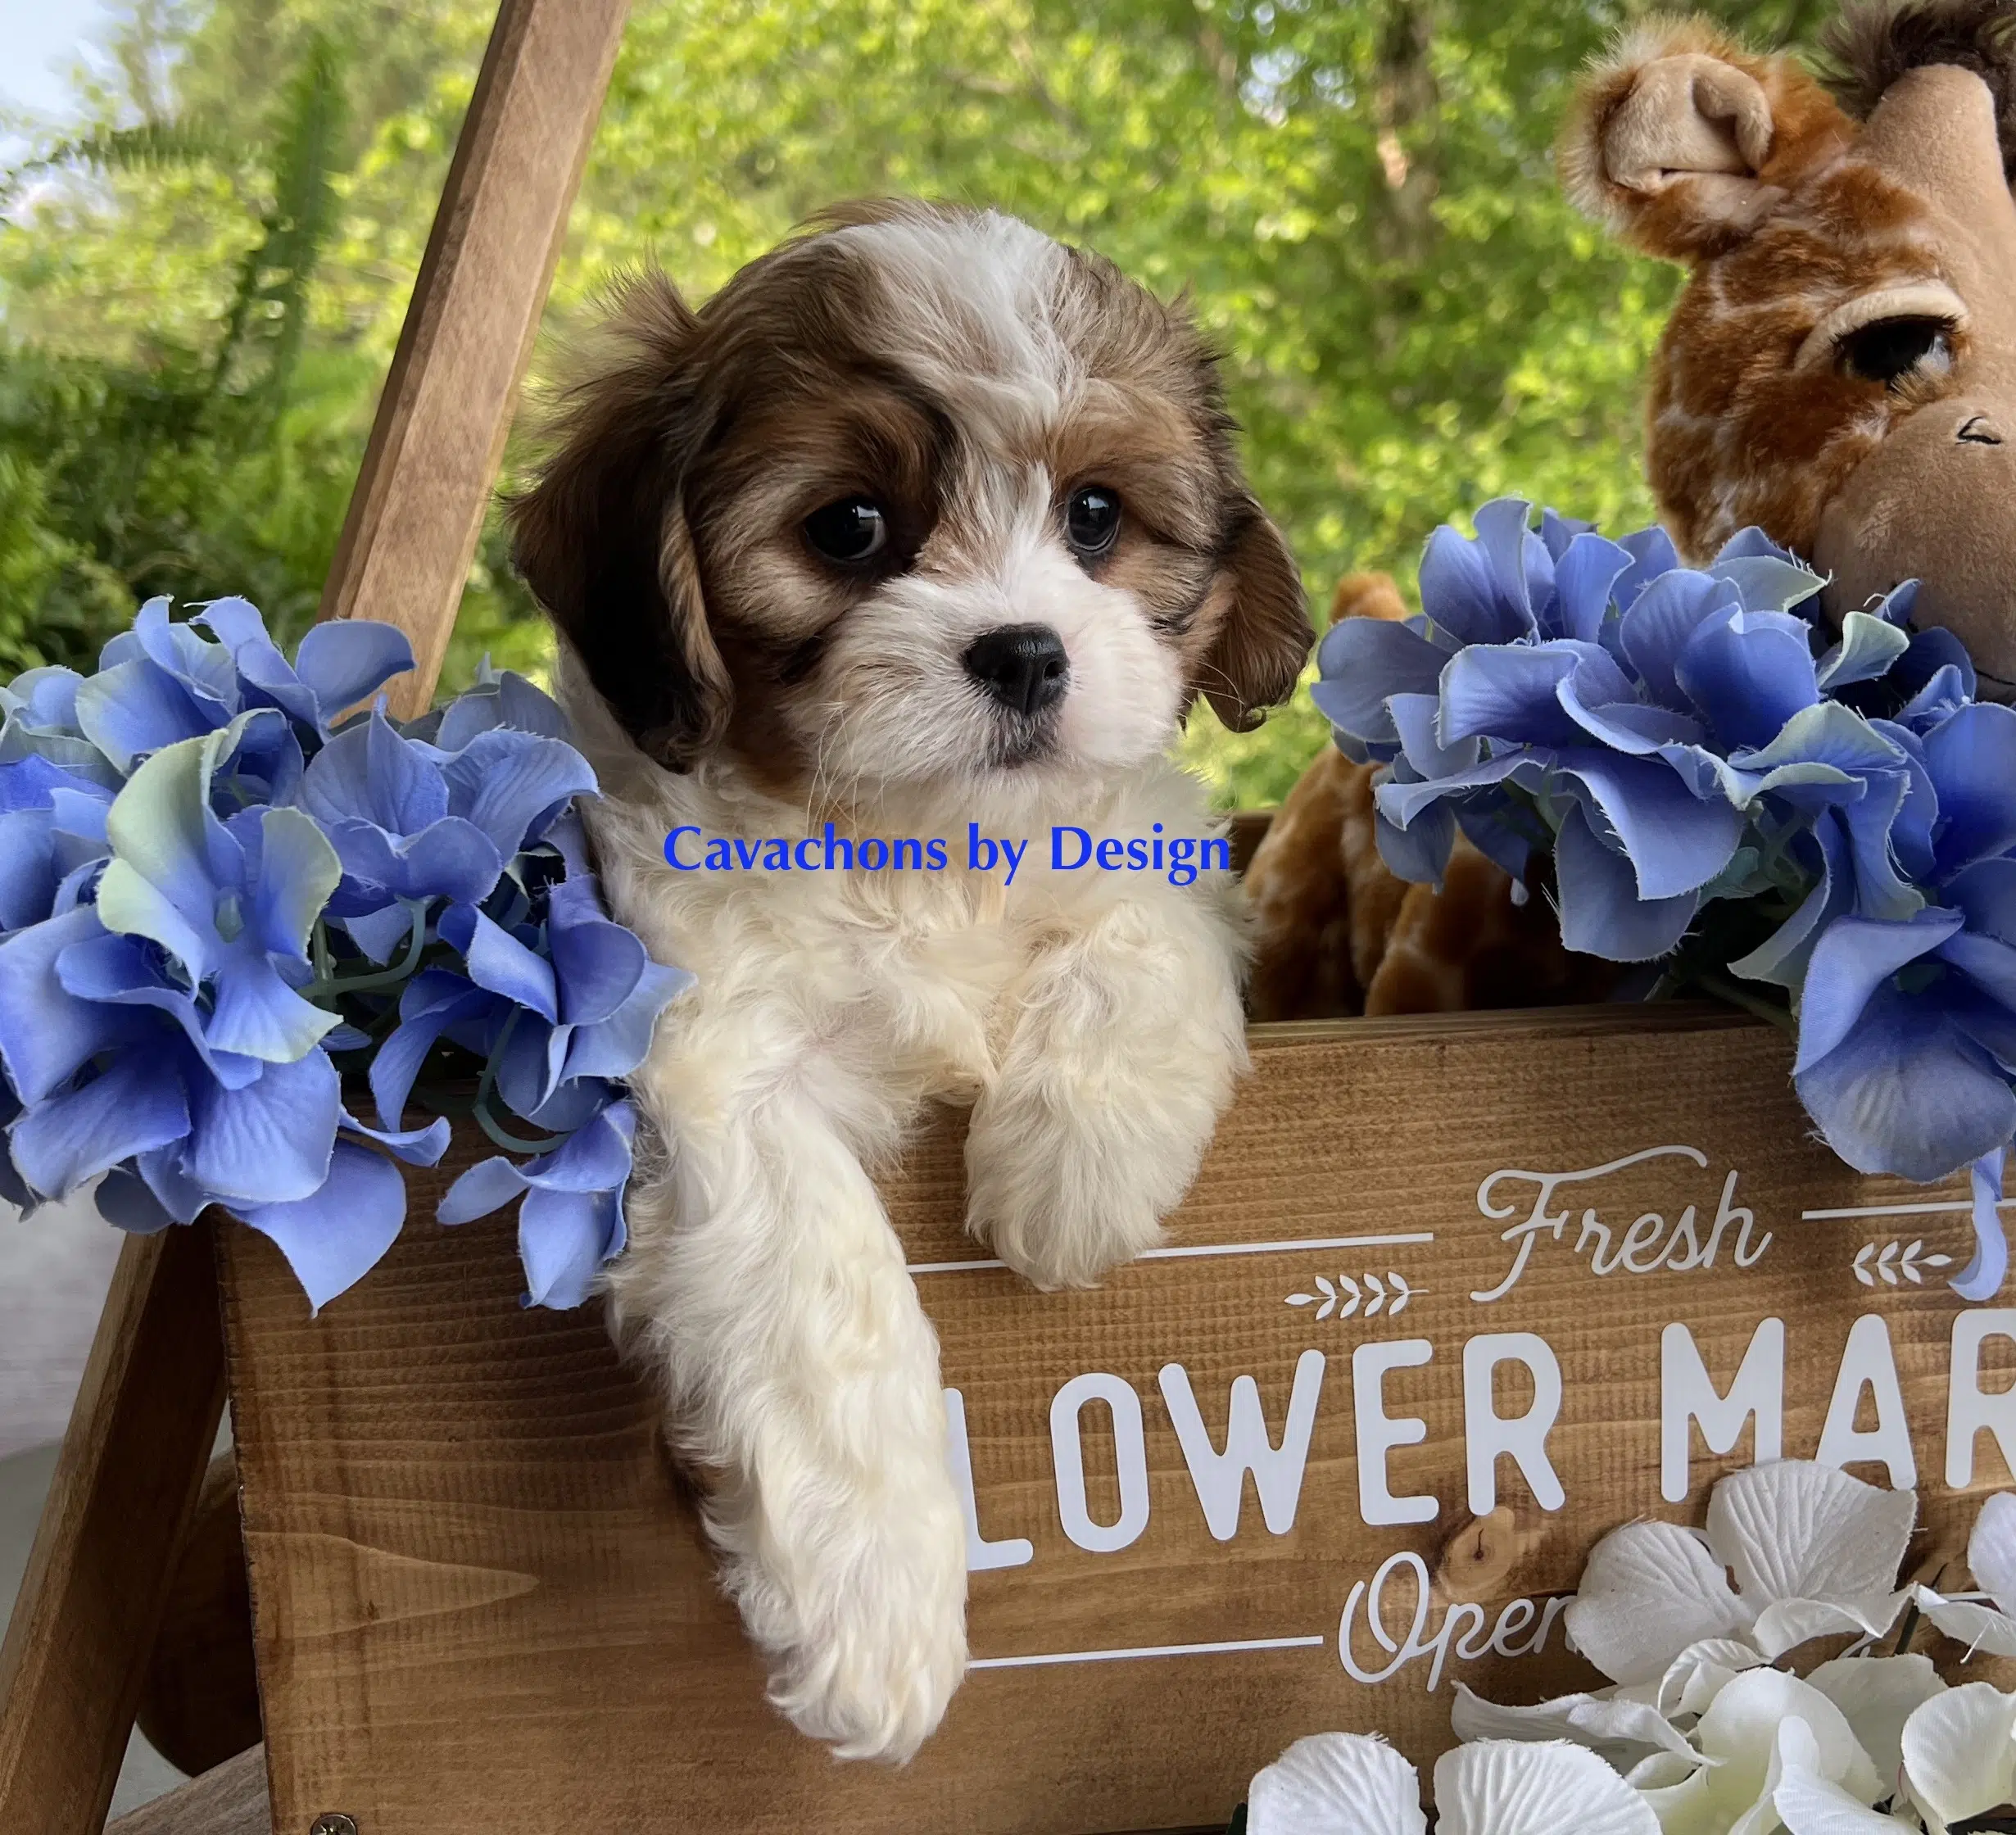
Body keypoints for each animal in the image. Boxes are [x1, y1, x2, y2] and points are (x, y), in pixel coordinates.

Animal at [512, 202, 1314, 1766]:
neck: (925, 848)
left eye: (1095, 516)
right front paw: (874, 1599)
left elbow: (1140, 934)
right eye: (851, 528)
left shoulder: (1161, 859)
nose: (1025, 653)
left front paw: (1071, 1171)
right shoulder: (711, 1054)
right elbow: (819, 1286)